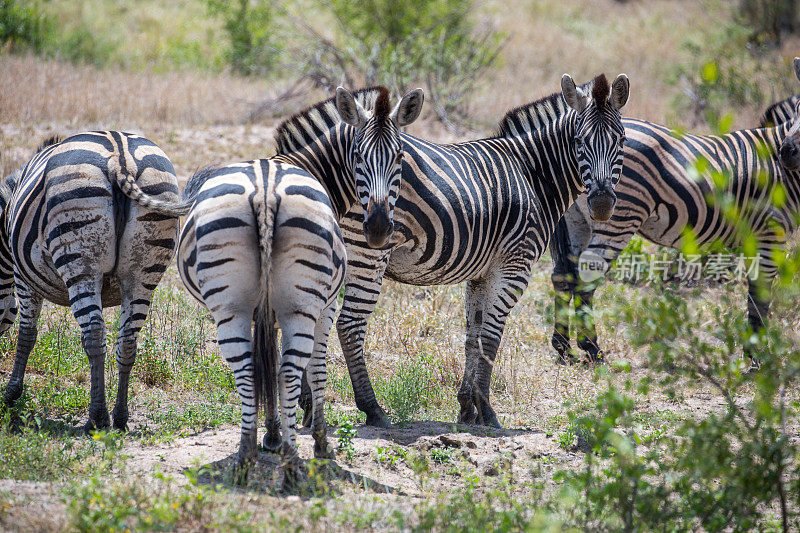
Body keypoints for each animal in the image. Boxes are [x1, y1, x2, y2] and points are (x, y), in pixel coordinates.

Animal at [0, 131, 190, 430]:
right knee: (127, 340)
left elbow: (27, 335)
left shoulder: (23, 276)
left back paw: (97, 418)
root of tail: (120, 157)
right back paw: (120, 417)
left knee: (94, 335)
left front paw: (10, 396)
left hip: (80, 260)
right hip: (142, 271)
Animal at [176, 85, 424, 480]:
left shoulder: (267, 309)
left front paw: (272, 434)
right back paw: (293, 464)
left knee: (248, 369)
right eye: (358, 156)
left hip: (229, 306)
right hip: (303, 305)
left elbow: (269, 362)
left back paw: (246, 457)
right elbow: (316, 370)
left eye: (399, 156)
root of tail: (264, 190)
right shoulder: (325, 306)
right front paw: (316, 440)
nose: (378, 229)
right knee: (291, 371)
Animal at [294, 72, 632, 428]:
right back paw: (371, 409)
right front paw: (487, 410)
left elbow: (473, 336)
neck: (532, 174)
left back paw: (308, 407)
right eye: (579, 142)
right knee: (349, 325)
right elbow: (492, 337)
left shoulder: (481, 273)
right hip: (368, 252)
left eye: (621, 140)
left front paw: (467, 408)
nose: (601, 204)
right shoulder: (515, 266)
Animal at [552, 58, 800, 366]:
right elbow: (760, 293)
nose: (787, 154)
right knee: (588, 271)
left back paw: (564, 346)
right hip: (619, 216)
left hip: (577, 220)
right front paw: (757, 356)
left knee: (565, 273)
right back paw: (592, 347)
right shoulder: (771, 230)